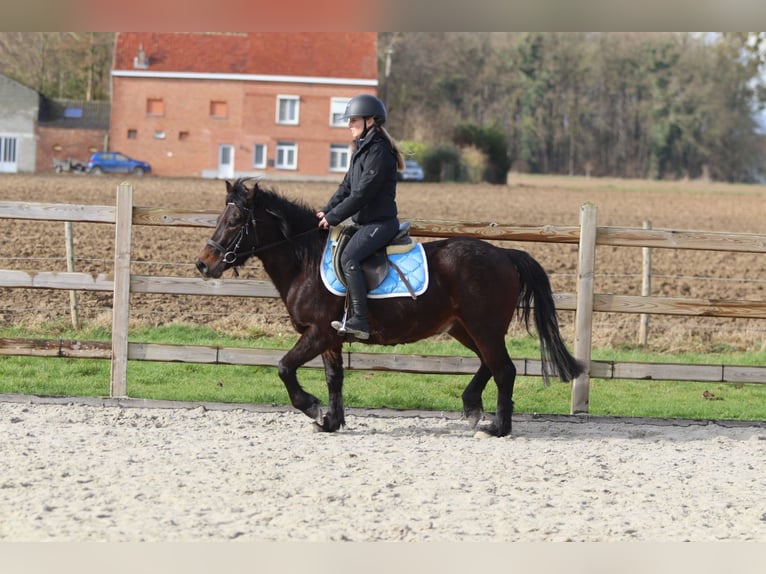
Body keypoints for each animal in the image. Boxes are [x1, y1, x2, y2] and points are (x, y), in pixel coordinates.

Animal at [195, 178, 584, 437]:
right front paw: (331, 421)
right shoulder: (330, 338)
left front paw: (311, 407)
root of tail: (504, 253)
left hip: (483, 327)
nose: (203, 264)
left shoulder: (316, 333)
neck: (305, 260)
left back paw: (497, 427)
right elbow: (334, 377)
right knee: (490, 364)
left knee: (504, 369)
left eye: (235, 222)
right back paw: (473, 405)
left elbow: (284, 367)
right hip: (465, 328)